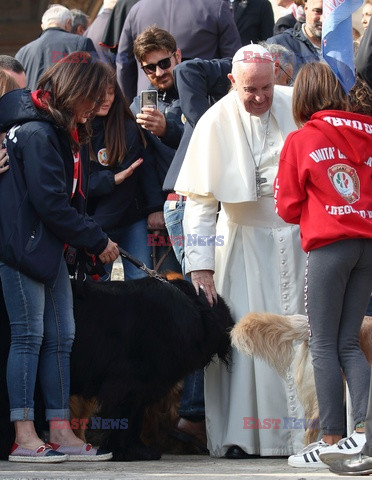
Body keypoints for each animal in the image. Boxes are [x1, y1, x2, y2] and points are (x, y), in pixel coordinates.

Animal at [0, 278, 232, 462]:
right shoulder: (127, 382)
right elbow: (125, 416)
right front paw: (126, 451)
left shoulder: (143, 386)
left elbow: (136, 417)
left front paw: (138, 449)